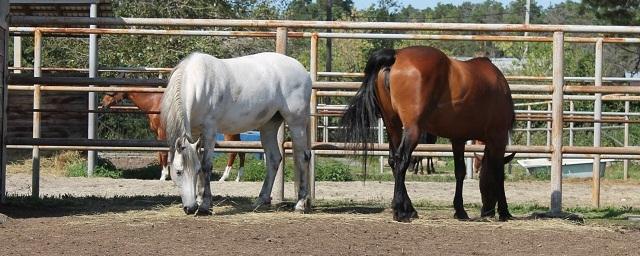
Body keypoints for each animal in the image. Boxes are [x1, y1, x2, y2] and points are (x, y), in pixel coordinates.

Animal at [99, 91, 245, 181]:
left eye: (111, 92)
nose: (103, 104)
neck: (155, 103)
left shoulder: (162, 133)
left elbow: (163, 153)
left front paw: (164, 176)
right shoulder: (158, 134)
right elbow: (162, 154)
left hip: (229, 134)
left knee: (233, 153)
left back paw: (224, 178)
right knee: (241, 152)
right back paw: (237, 178)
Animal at [159, 51, 310, 214]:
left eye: (194, 170)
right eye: (178, 172)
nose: (191, 208)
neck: (197, 83)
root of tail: (302, 71)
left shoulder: (210, 130)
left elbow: (206, 165)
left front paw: (205, 205)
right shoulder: (193, 133)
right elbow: (199, 159)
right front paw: (200, 200)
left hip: (296, 123)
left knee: (302, 157)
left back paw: (300, 204)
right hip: (269, 125)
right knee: (274, 159)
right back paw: (261, 200)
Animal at [340, 46, 516, 222]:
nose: (486, 211)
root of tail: (396, 55)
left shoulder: (458, 139)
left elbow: (460, 172)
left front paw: (460, 210)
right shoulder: (498, 139)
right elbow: (499, 174)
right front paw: (505, 211)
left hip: (392, 125)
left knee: (393, 161)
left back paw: (409, 208)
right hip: (413, 129)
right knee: (402, 159)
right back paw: (401, 212)